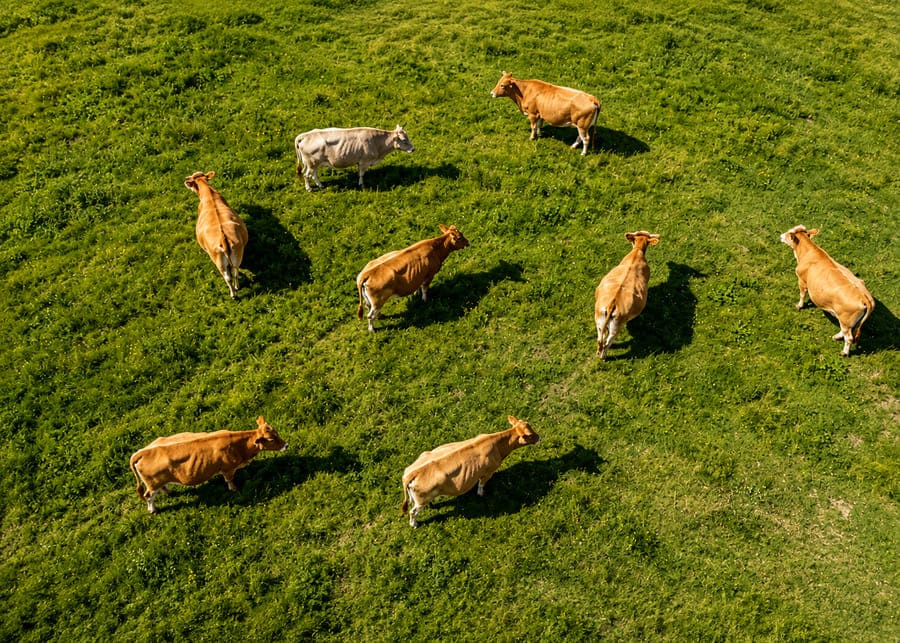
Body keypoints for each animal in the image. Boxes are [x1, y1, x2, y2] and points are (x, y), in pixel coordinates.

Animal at [129, 416, 287, 513]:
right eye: (271, 439)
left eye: (277, 432)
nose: (286, 445)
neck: (238, 445)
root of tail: (143, 451)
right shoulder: (228, 468)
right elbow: (229, 480)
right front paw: (234, 489)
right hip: (153, 483)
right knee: (149, 495)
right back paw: (153, 510)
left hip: (158, 480)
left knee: (160, 488)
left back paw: (169, 492)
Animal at [184, 171, 249, 299]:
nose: (186, 178)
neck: (209, 194)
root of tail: (223, 239)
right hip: (237, 255)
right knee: (236, 271)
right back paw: (237, 287)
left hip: (218, 261)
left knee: (227, 277)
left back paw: (233, 294)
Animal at [401, 416, 541, 528]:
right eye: (530, 435)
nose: (540, 437)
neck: (497, 444)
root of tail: (411, 473)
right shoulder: (489, 471)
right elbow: (481, 484)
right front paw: (481, 494)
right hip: (420, 501)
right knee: (413, 512)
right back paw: (414, 524)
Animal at [594, 231, 661, 359]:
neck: (637, 252)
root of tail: (612, 304)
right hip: (616, 327)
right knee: (607, 343)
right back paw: (603, 357)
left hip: (599, 320)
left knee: (600, 339)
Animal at [780, 225, 874, 356]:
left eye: (789, 234)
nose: (781, 236)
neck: (808, 252)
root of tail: (864, 297)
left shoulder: (802, 280)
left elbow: (802, 295)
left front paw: (799, 306)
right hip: (848, 321)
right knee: (845, 332)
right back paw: (836, 337)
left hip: (845, 320)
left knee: (849, 337)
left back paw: (844, 352)